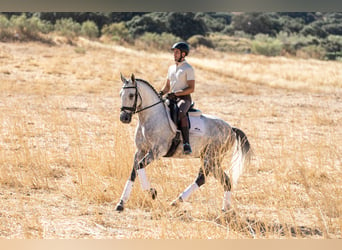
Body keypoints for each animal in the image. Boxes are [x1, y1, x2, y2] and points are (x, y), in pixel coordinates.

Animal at [116, 73, 250, 212]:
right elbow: (134, 171)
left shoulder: (156, 151)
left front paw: (152, 192)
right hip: (211, 159)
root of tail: (231, 129)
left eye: (131, 95)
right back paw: (225, 208)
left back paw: (177, 201)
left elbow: (140, 166)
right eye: (120, 94)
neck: (150, 118)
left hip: (211, 157)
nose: (124, 118)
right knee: (223, 180)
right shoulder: (140, 151)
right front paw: (121, 203)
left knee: (203, 178)